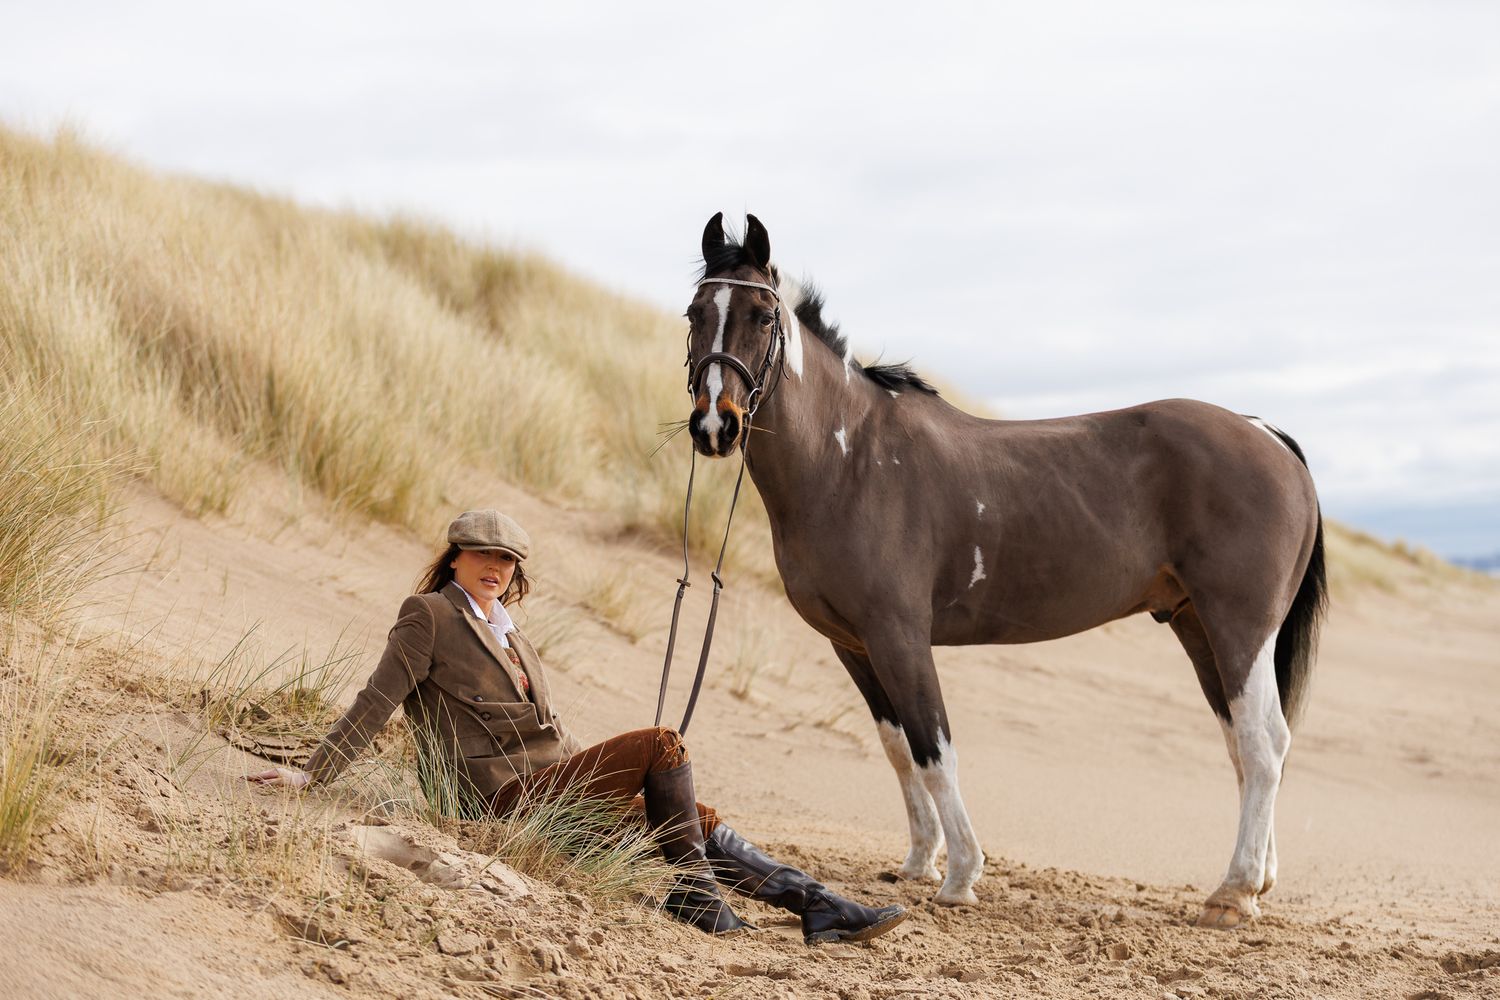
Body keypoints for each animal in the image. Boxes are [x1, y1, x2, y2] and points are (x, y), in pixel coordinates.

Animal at [681, 213, 1326, 927]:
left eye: (764, 315)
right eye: (694, 314)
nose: (714, 425)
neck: (848, 460)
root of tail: (1265, 434)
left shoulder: (899, 637)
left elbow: (935, 749)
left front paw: (961, 874)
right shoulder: (853, 644)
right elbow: (898, 749)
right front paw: (918, 861)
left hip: (1239, 627)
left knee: (1264, 744)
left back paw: (1232, 894)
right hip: (1196, 625)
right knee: (1245, 743)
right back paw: (1257, 881)